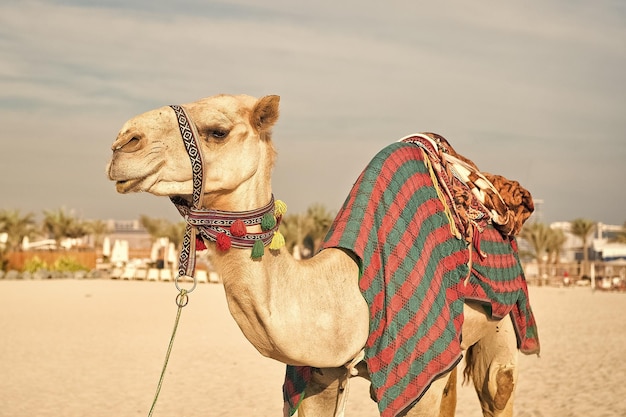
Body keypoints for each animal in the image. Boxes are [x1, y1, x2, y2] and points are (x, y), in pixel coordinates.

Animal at [107, 94, 536, 416]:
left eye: (217, 131)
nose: (122, 143)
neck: (350, 291)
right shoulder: (321, 376)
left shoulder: (419, 372)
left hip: (501, 322)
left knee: (498, 383)